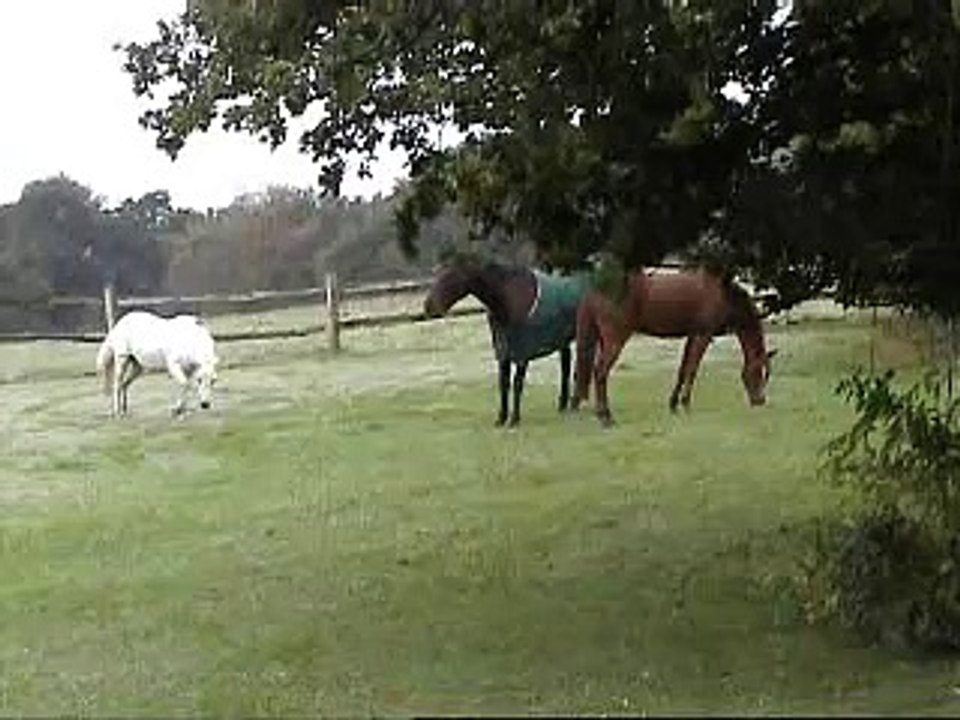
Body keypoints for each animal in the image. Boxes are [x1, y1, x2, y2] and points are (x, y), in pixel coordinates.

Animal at [423, 255, 591, 427]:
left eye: (449, 276)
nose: (428, 307)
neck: (507, 299)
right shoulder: (503, 352)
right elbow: (503, 383)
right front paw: (501, 418)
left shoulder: (522, 354)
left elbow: (517, 383)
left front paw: (514, 419)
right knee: (567, 366)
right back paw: (564, 404)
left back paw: (575, 403)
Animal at [571, 267, 776, 426]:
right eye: (757, 371)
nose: (760, 400)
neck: (723, 295)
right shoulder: (703, 335)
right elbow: (692, 370)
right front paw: (685, 405)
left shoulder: (692, 335)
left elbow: (683, 369)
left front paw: (673, 405)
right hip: (615, 339)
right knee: (600, 373)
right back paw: (606, 417)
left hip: (602, 339)